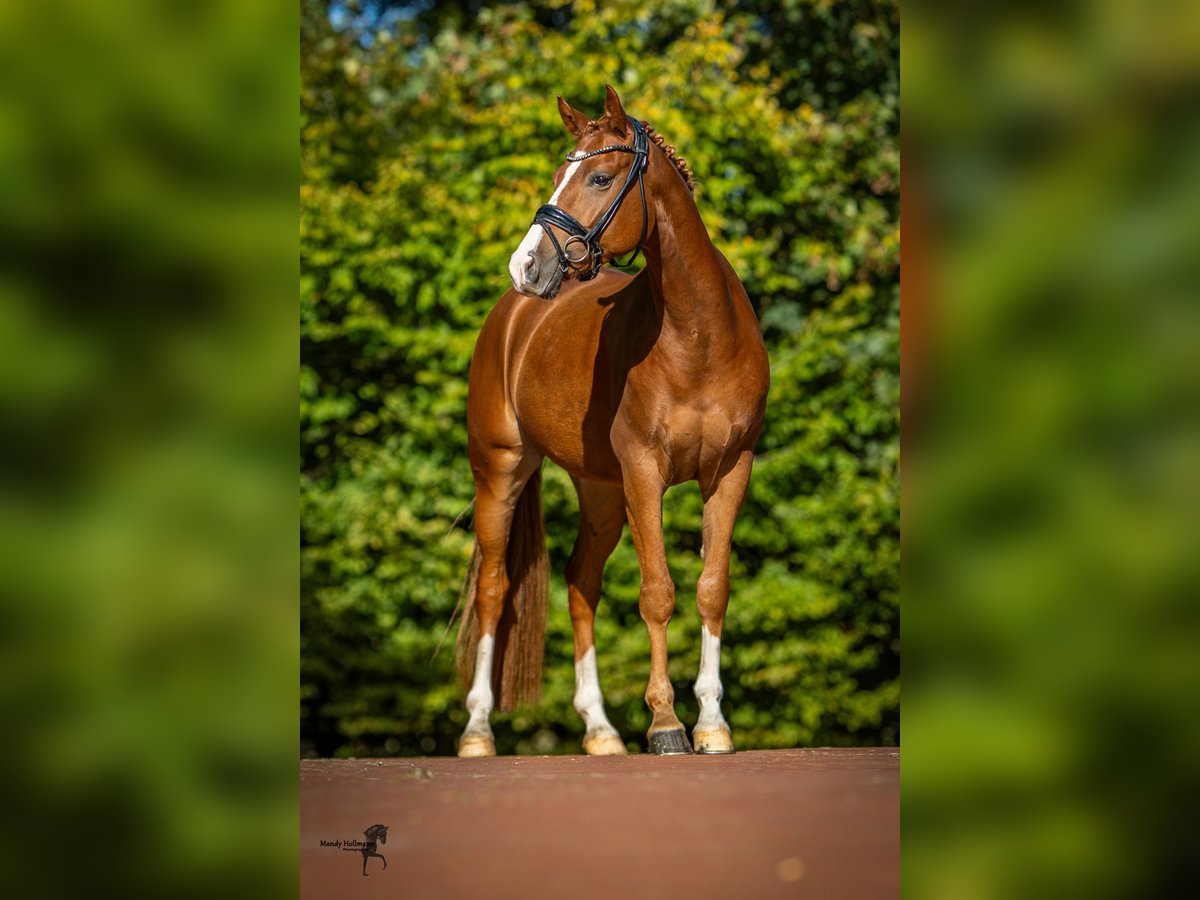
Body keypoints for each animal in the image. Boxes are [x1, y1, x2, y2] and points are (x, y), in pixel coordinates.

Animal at [458, 86, 768, 763]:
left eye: (600, 177)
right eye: (558, 173)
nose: (527, 265)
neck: (699, 337)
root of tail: (512, 317)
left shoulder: (729, 472)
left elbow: (712, 588)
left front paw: (712, 723)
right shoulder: (645, 474)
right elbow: (658, 593)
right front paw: (666, 723)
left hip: (600, 493)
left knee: (580, 584)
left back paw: (599, 730)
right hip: (500, 471)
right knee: (494, 588)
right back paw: (477, 730)